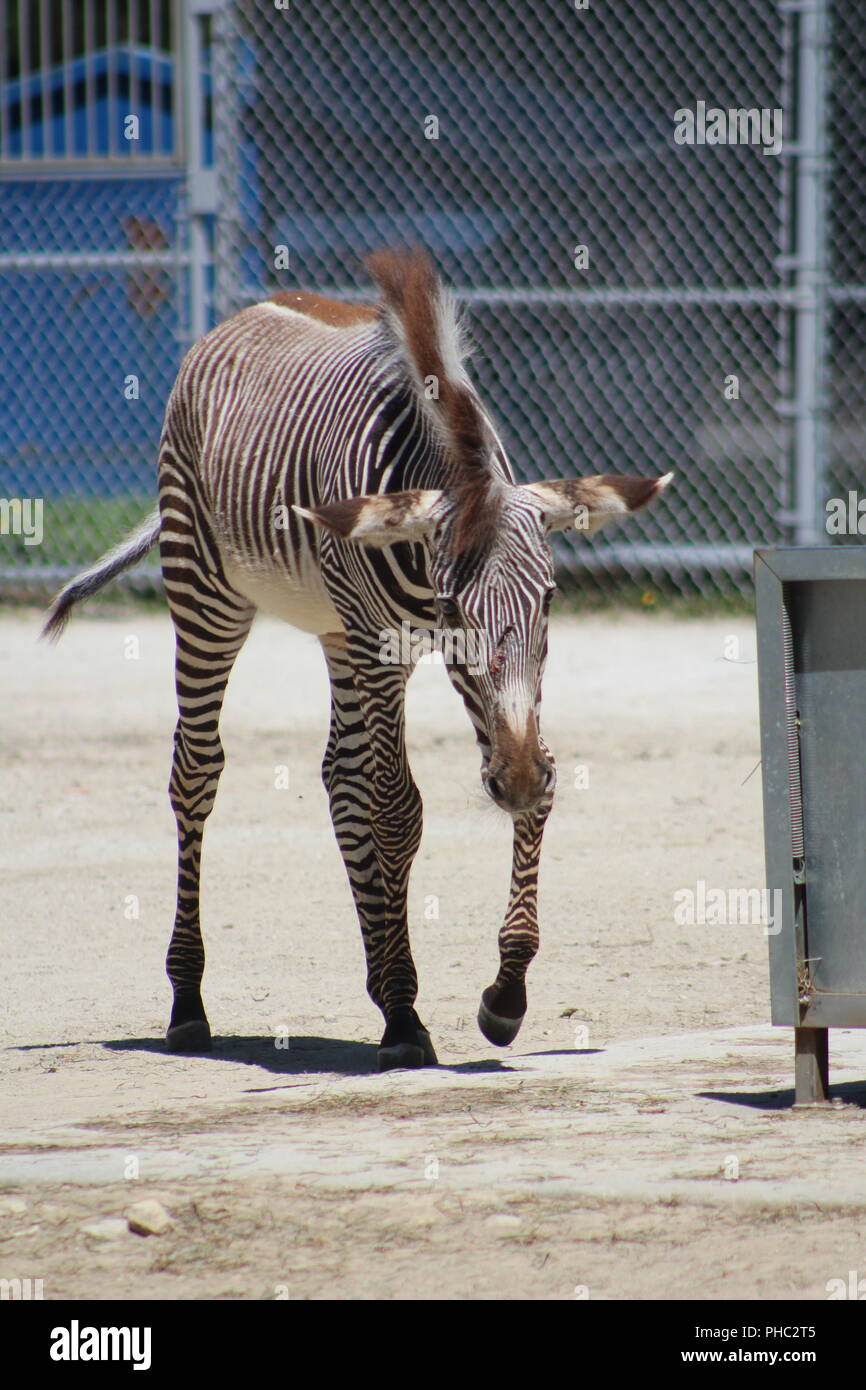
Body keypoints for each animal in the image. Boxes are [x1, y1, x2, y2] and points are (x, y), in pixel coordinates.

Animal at [44, 250, 675, 1067]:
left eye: (553, 597)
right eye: (453, 608)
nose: (513, 782)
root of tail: (240, 316)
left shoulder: (466, 676)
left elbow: (527, 781)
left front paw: (504, 993)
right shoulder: (389, 644)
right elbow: (398, 809)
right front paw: (406, 1021)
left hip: (338, 631)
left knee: (341, 779)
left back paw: (378, 982)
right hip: (210, 592)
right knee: (197, 771)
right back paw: (190, 1002)